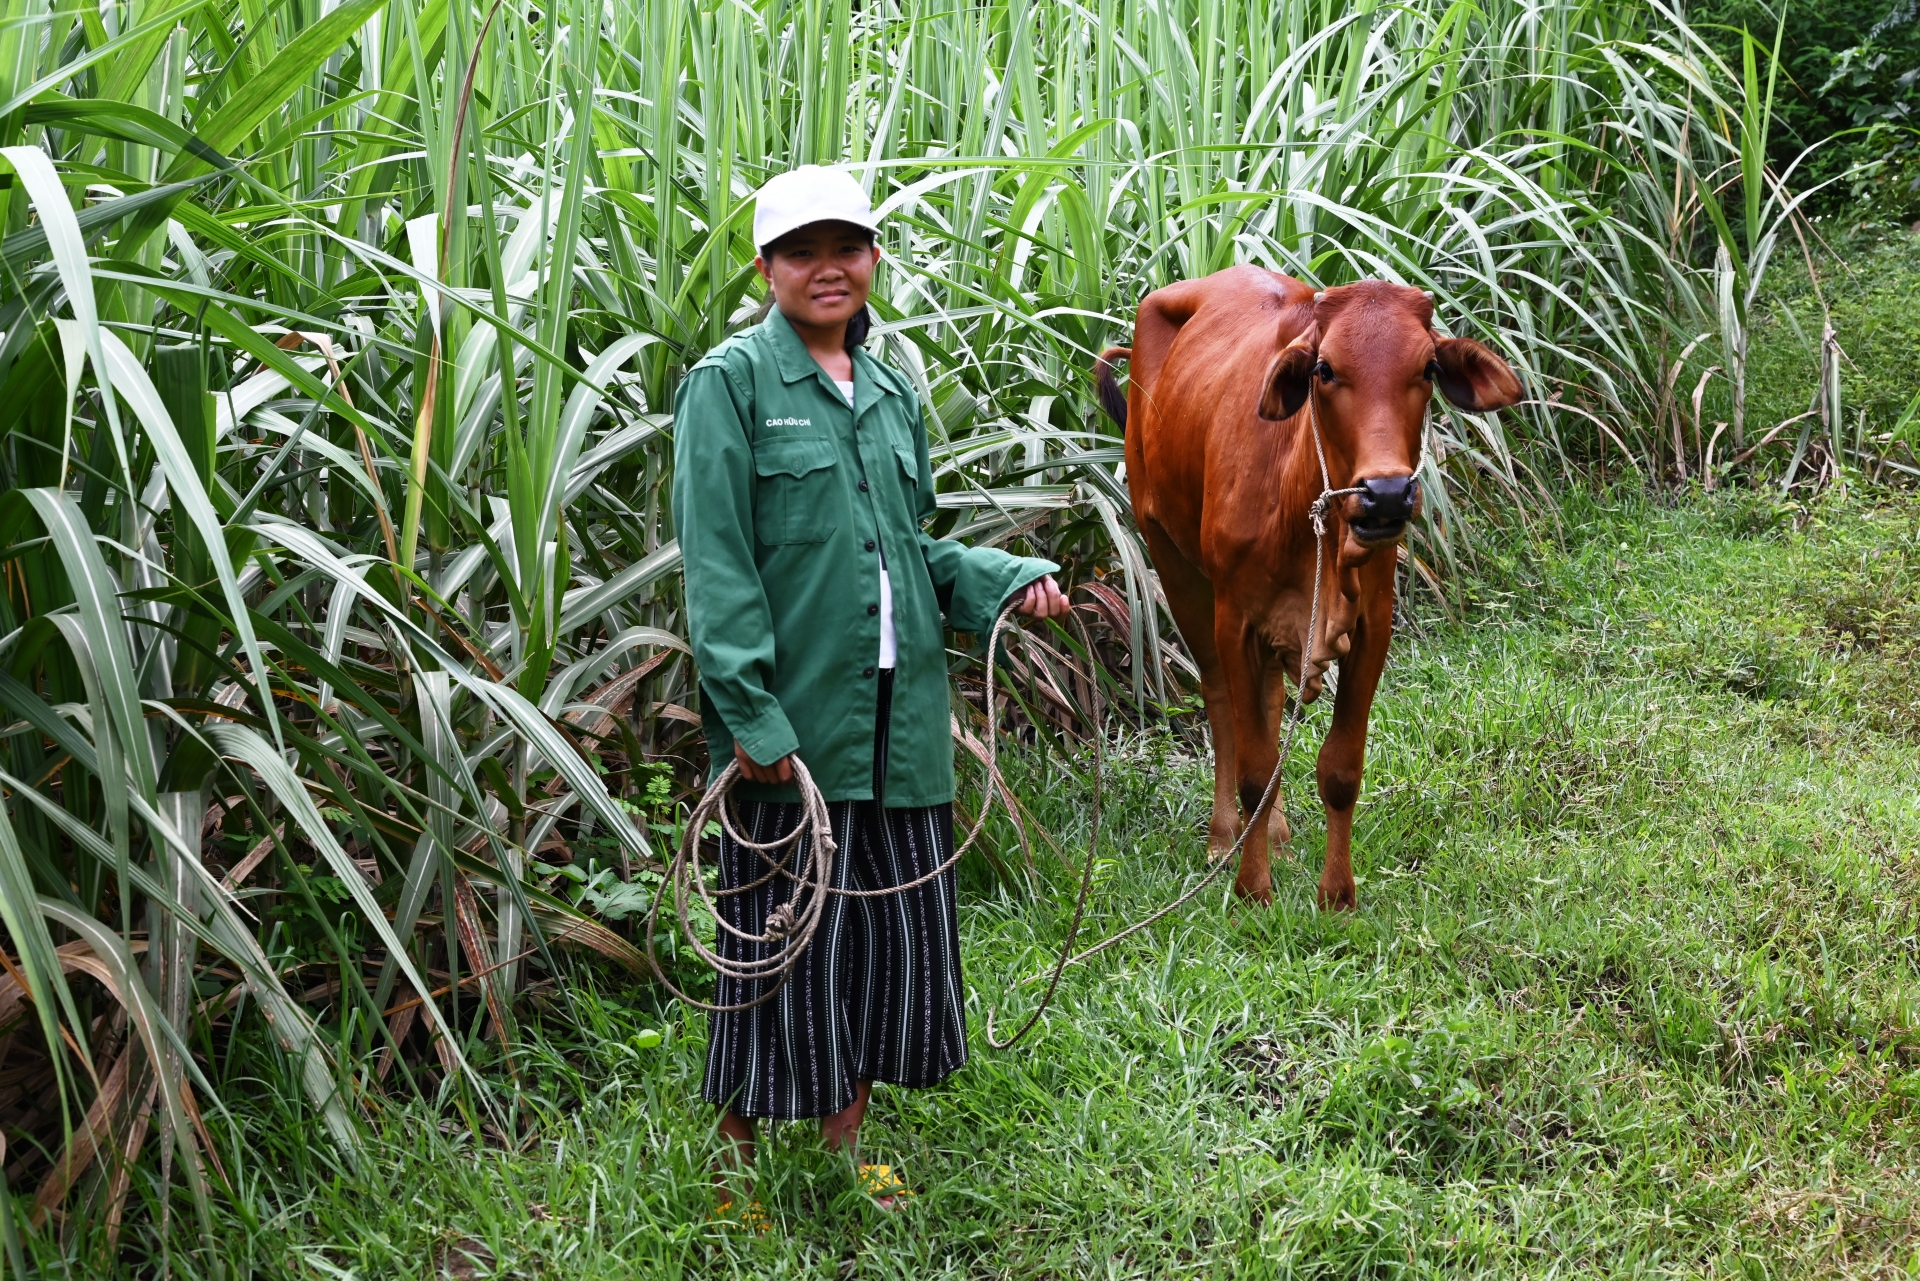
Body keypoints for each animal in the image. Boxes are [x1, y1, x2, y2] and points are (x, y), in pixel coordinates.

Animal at [1105, 268, 1520, 910]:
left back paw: (1274, 835)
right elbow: (1253, 767)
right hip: (1170, 559)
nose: (1386, 493)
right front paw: (1253, 890)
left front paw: (1337, 896)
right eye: (1324, 369)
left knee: (1272, 704)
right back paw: (1225, 837)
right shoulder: (1234, 619)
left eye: (1428, 367)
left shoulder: (1373, 622)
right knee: (1221, 701)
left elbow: (1340, 769)